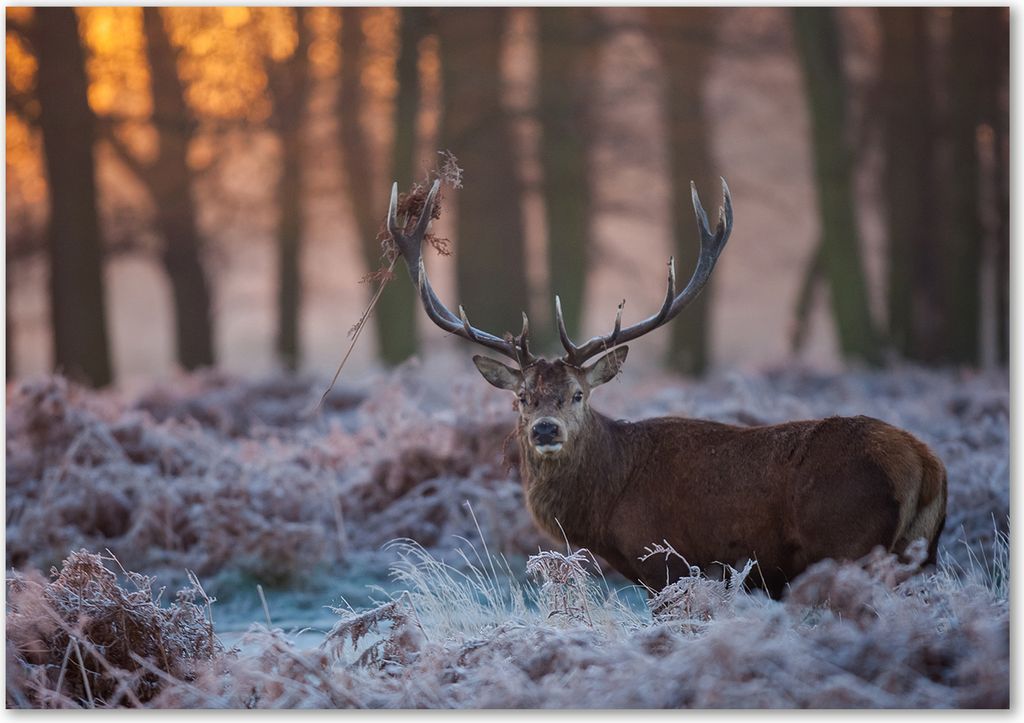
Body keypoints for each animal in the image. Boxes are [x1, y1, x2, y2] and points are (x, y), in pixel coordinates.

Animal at [383, 178, 948, 599]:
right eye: (522, 398)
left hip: (848, 541)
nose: (545, 430)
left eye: (578, 394)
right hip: (918, 554)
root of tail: (927, 465)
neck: (606, 505)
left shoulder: (667, 562)